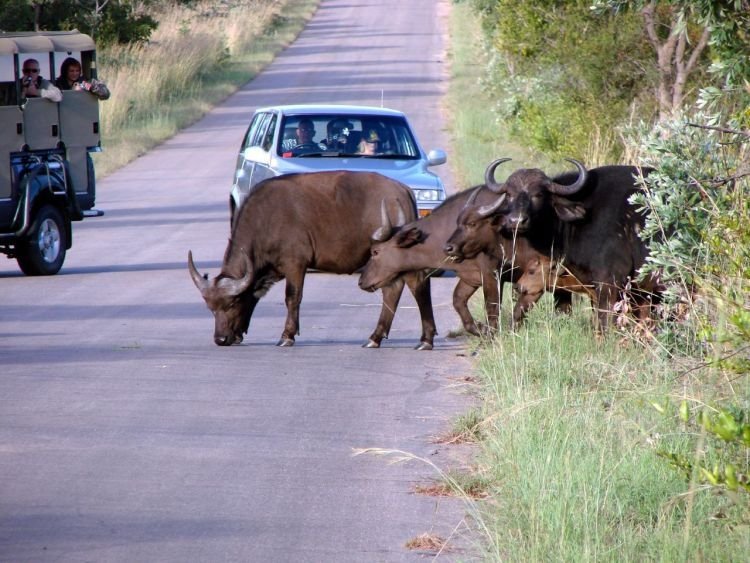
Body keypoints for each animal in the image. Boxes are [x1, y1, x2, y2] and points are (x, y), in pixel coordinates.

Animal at [188, 170, 438, 350]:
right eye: (210, 308)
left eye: (231, 304)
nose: (220, 339)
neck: (265, 219)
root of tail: (402, 189)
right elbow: (254, 298)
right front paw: (239, 333)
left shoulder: (295, 264)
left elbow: (292, 298)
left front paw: (287, 335)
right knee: (393, 289)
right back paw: (376, 337)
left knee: (416, 286)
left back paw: (425, 339)